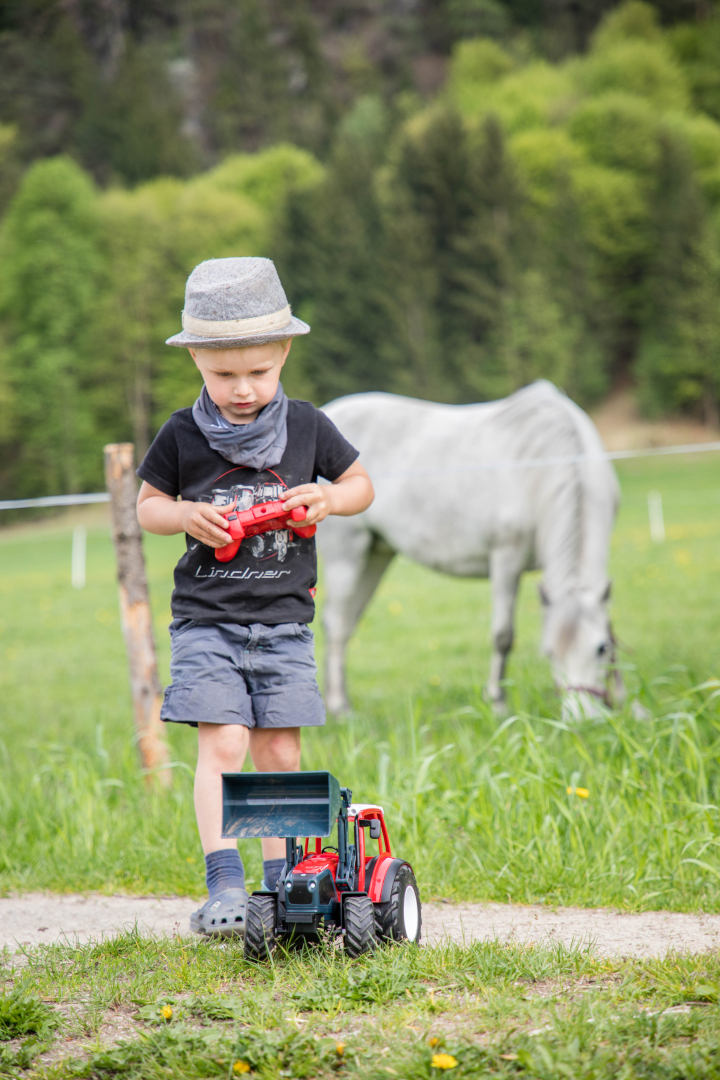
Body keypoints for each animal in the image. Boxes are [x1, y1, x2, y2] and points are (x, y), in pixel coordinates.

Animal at [317, 380, 621, 717]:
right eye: (549, 652)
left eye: (602, 648)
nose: (584, 720)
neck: (546, 459)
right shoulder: (506, 558)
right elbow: (503, 636)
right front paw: (498, 703)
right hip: (347, 556)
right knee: (336, 623)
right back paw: (338, 706)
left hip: (375, 556)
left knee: (347, 623)